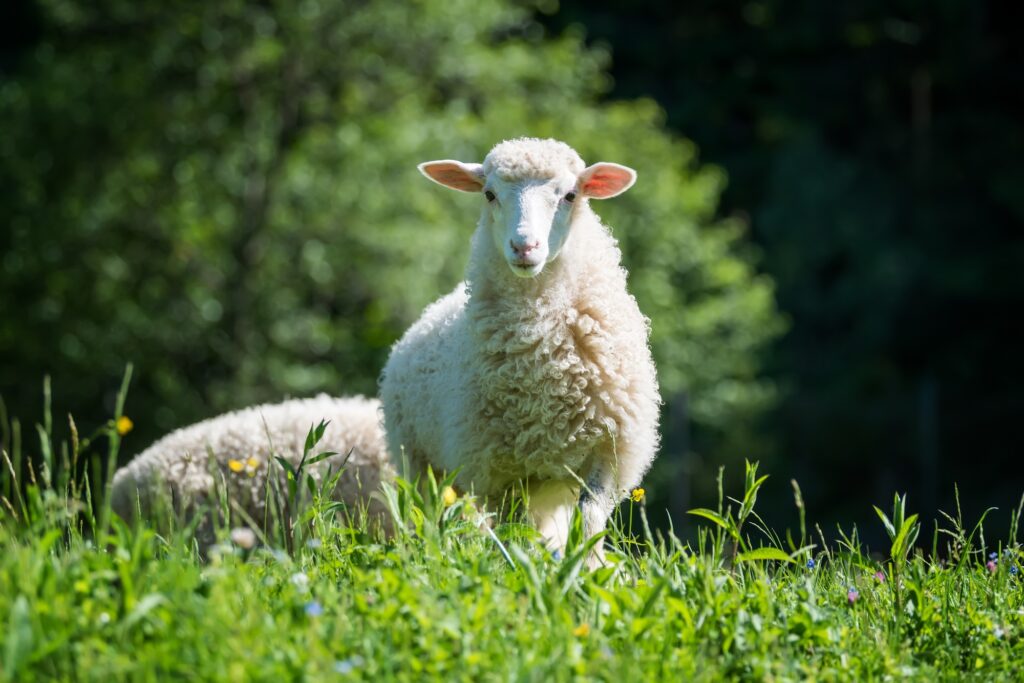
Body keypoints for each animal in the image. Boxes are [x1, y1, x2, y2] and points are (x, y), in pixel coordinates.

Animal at [380, 137, 661, 565]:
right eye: (489, 194)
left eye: (570, 195)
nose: (524, 246)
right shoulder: (499, 470)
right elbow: (513, 536)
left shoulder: (607, 454)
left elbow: (589, 522)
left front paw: (588, 569)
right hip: (420, 465)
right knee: (430, 520)